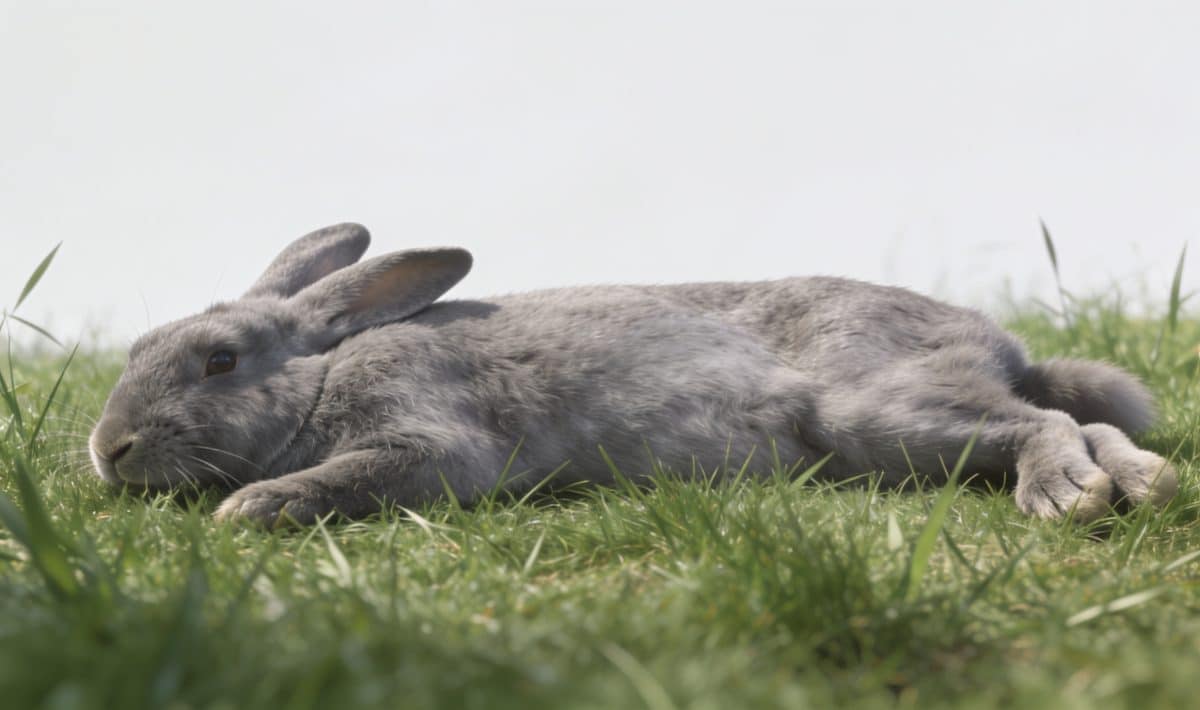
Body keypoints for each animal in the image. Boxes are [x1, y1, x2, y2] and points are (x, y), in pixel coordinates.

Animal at [88, 223, 1178, 526]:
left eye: (219, 360)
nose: (108, 450)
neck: (319, 377)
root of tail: (999, 343)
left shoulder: (422, 433)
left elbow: (347, 474)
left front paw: (249, 508)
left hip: (875, 412)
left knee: (1043, 425)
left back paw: (1064, 494)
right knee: (1084, 420)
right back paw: (1142, 482)